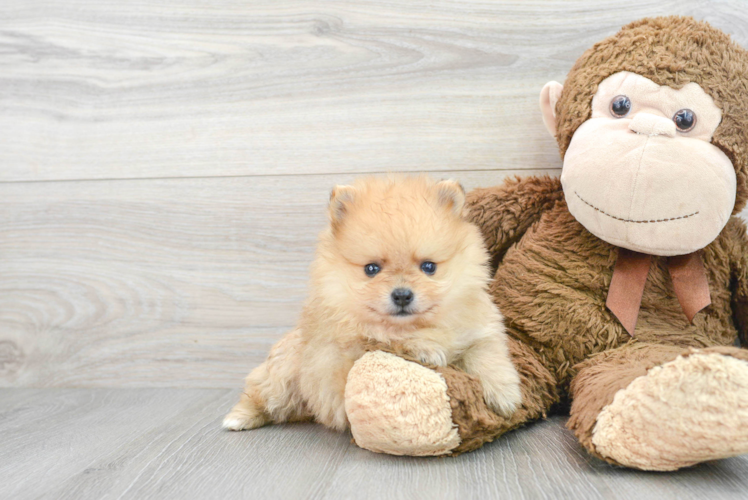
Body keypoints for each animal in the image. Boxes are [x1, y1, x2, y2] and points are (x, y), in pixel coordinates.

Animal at [222, 174, 520, 432]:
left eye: (429, 267)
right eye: (372, 269)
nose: (402, 295)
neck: (418, 324)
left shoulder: (479, 328)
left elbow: (486, 353)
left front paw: (505, 394)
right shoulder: (347, 347)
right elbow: (386, 337)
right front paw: (425, 347)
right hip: (282, 374)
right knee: (261, 394)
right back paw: (239, 418)